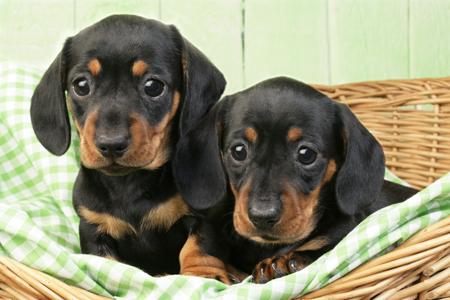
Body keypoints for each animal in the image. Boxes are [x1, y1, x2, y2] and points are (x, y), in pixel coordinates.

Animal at [29, 14, 230, 278]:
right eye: (81, 85)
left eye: (153, 86)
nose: (111, 144)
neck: (130, 185)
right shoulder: (94, 230)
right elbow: (106, 263)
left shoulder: (201, 217)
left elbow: (198, 246)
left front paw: (202, 275)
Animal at [173, 76, 418, 282]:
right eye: (239, 151)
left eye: (306, 154)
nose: (262, 216)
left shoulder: (343, 235)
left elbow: (323, 249)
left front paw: (281, 262)